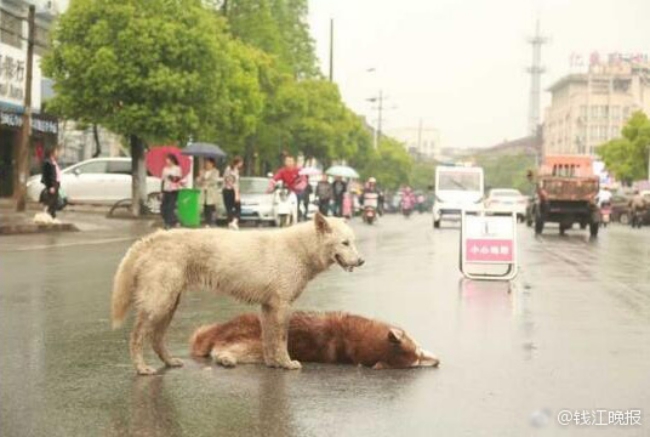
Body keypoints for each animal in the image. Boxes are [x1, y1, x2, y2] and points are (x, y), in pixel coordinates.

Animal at [112, 212, 364, 374]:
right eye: (345, 243)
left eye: (353, 242)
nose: (361, 261)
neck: (300, 249)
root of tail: (150, 240)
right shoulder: (282, 305)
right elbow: (281, 339)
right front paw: (287, 363)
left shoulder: (268, 307)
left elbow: (269, 339)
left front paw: (273, 364)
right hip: (159, 303)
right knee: (137, 336)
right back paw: (142, 368)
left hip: (169, 304)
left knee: (156, 338)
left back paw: (169, 362)